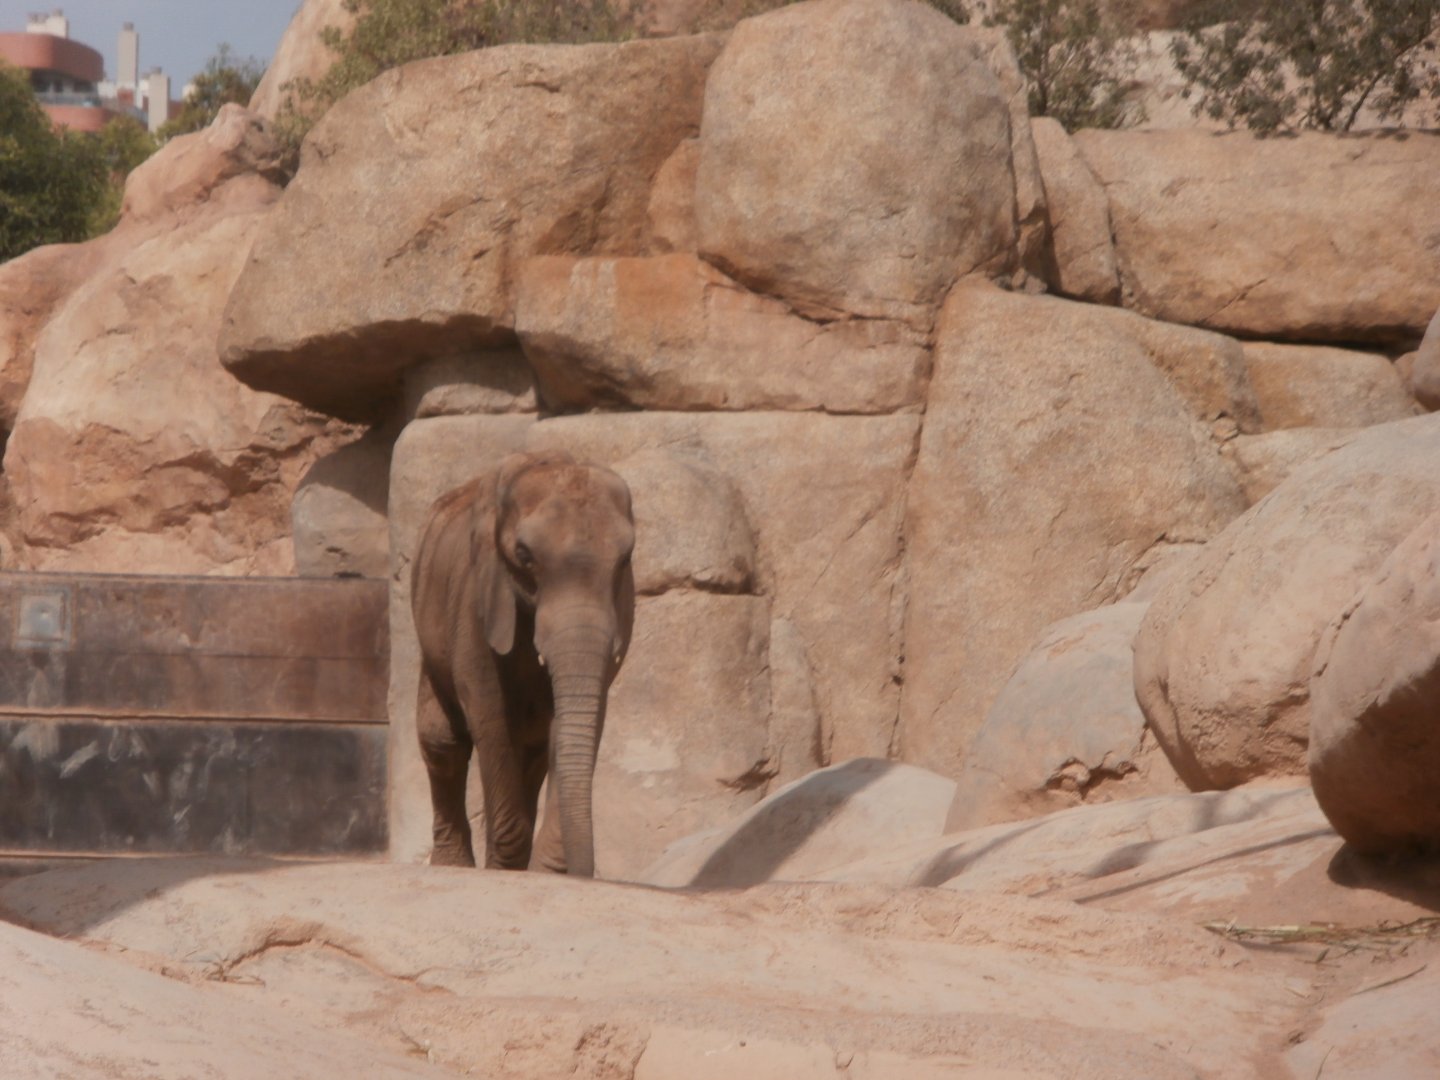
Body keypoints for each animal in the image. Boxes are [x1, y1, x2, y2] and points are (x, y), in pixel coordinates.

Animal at [410, 450, 635, 878]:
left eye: (625, 559)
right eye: (524, 556)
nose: (587, 874)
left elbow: (574, 722)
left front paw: (545, 872)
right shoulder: (475, 599)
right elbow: (489, 716)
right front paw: (504, 869)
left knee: (530, 753)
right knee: (443, 741)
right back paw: (454, 865)